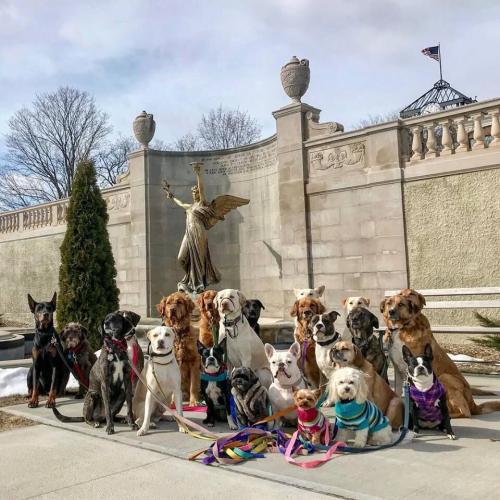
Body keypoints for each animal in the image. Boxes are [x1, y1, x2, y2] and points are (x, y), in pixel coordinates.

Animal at [378, 290, 500, 418]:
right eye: (389, 303)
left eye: (401, 304)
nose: (391, 311)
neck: (401, 329)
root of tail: (473, 404)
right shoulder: (398, 368)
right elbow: (397, 391)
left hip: (445, 377)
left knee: (465, 412)